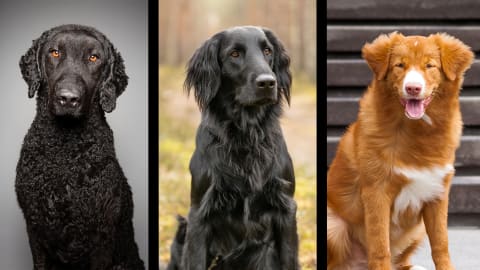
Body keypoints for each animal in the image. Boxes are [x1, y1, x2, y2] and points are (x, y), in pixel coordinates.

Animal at [15, 24, 144, 268]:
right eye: (55, 52)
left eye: (94, 57)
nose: (68, 98)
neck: (65, 149)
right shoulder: (34, 231)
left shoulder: (101, 237)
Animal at [167, 25, 298, 270]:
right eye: (234, 54)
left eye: (267, 50)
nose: (268, 82)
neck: (246, 136)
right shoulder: (199, 214)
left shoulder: (286, 207)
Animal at [328, 32, 474, 270]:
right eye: (400, 65)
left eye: (429, 66)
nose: (413, 88)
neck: (416, 132)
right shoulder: (376, 192)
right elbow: (380, 247)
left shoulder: (438, 193)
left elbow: (441, 245)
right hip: (335, 225)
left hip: (418, 228)